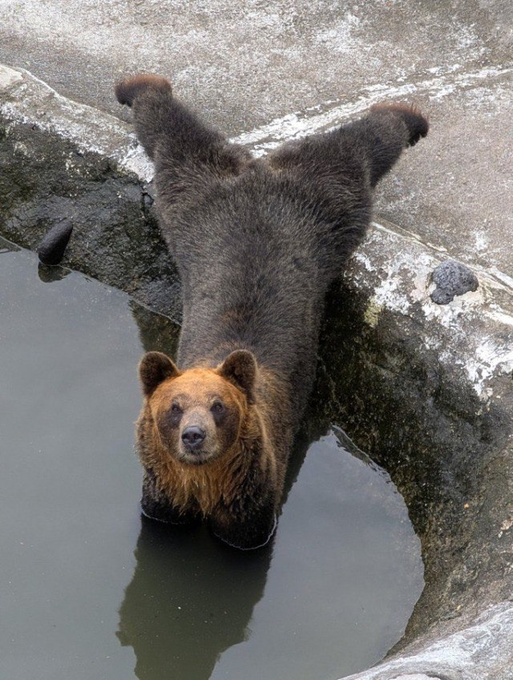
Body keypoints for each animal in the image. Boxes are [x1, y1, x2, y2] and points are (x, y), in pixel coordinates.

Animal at [115, 73, 428, 550]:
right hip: (196, 202)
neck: (205, 484)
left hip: (322, 206)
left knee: (353, 151)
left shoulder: (253, 501)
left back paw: (409, 116)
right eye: (174, 406)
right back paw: (139, 85)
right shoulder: (164, 496)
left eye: (218, 405)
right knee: (176, 139)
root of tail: (258, 174)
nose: (194, 436)